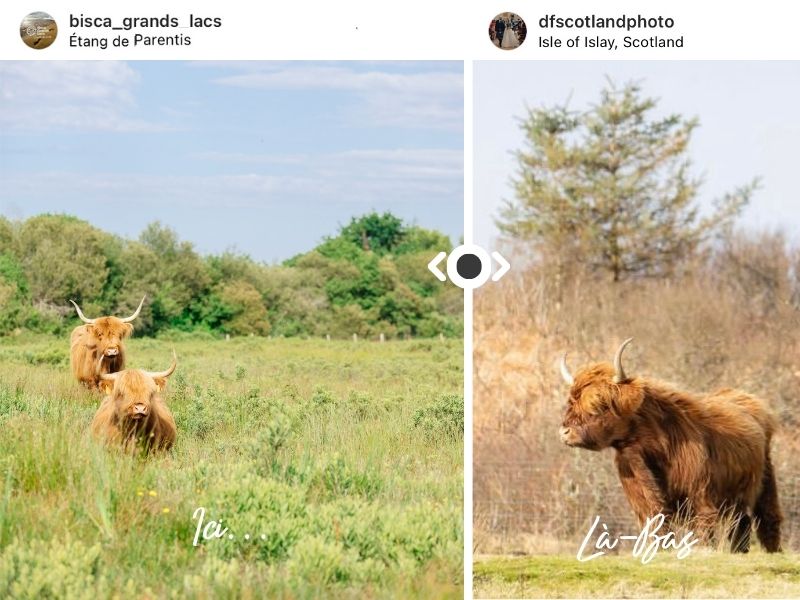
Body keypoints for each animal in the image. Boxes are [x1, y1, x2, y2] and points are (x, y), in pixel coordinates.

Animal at [556, 338, 780, 552]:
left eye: (598, 404)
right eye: (571, 402)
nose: (565, 432)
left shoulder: (700, 492)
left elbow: (704, 526)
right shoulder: (642, 498)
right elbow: (657, 520)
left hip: (766, 478)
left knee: (767, 515)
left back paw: (772, 551)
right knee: (742, 520)